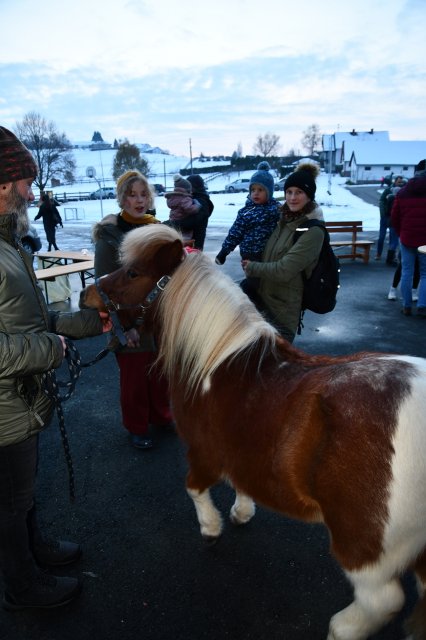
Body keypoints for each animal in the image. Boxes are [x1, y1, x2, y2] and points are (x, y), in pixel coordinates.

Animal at [80, 225, 426, 640]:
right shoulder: (241, 451)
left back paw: (341, 626)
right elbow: (242, 482)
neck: (221, 360)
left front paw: (211, 527)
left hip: (365, 548)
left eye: (132, 273)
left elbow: (194, 488)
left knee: (378, 603)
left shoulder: (203, 452)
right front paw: (242, 512)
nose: (86, 293)